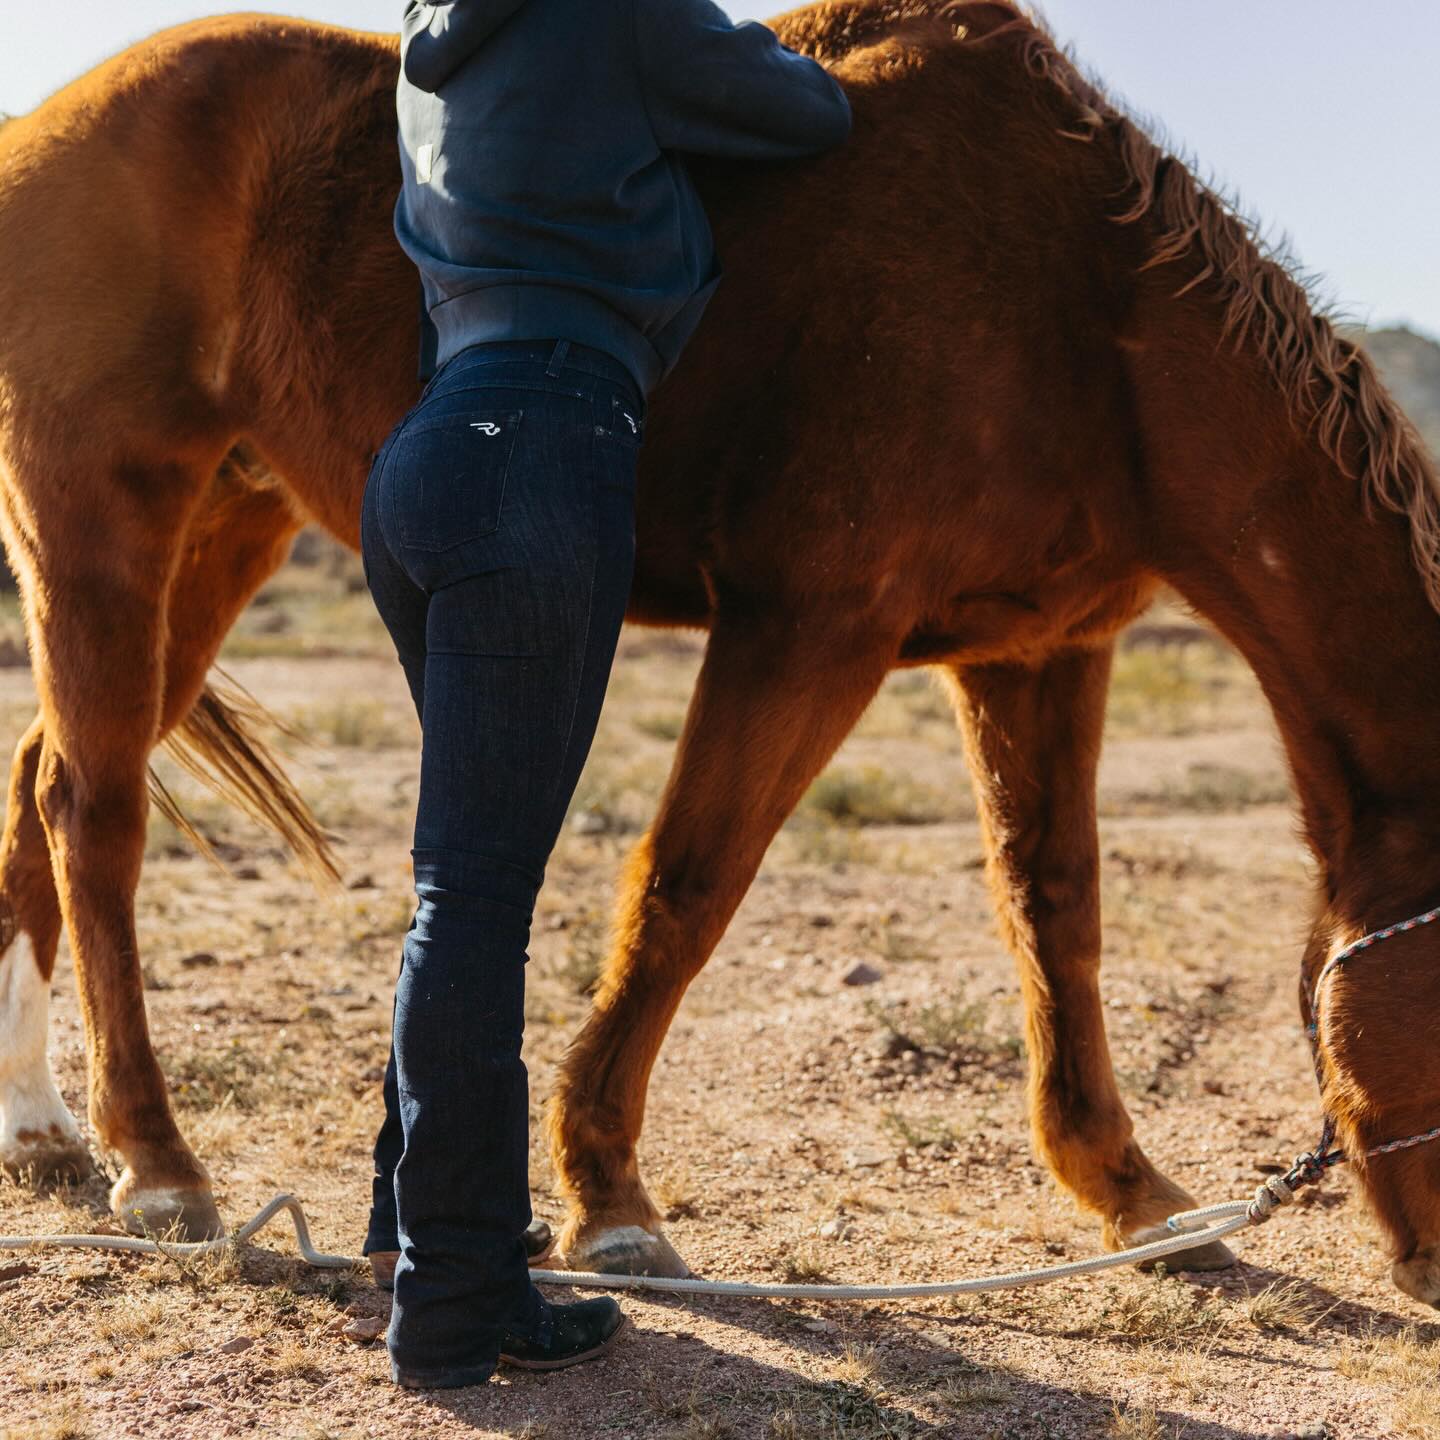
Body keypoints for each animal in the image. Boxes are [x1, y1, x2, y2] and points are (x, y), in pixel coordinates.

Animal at [2, 0, 1440, 1305]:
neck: (1085, 311)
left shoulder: (1042, 649)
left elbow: (1056, 907)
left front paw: (1133, 1194)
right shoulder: (808, 630)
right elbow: (685, 891)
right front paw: (611, 1203)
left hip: (226, 526)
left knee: (39, 780)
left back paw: (40, 1123)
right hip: (100, 524)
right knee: (97, 813)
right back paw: (159, 1167)